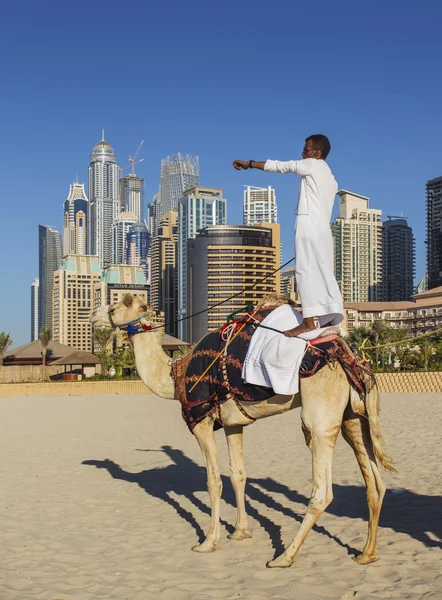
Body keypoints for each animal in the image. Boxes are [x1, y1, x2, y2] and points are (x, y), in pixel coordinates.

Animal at [90, 294, 394, 568]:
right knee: (375, 482)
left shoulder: (200, 421)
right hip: (353, 416)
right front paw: (240, 531)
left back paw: (284, 557)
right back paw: (366, 553)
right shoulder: (233, 423)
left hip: (320, 414)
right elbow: (238, 475)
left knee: (322, 491)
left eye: (114, 307)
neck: (175, 374)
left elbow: (214, 481)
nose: (93, 315)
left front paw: (208, 542)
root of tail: (350, 357)